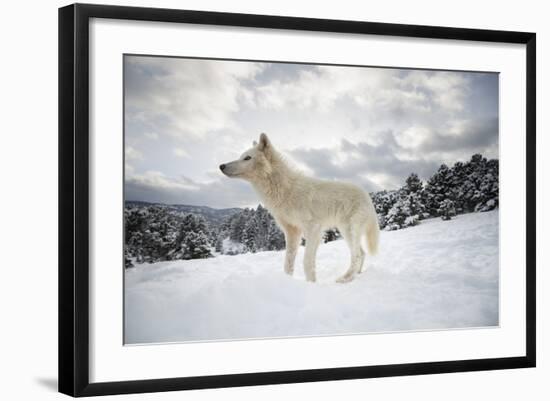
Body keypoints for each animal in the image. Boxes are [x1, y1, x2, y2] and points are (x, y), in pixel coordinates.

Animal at [220, 133, 380, 282]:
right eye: (241, 156)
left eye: (247, 158)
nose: (221, 166)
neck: (285, 189)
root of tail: (366, 195)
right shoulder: (292, 232)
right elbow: (288, 263)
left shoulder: (313, 229)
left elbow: (307, 262)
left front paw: (311, 284)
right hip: (345, 231)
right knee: (361, 253)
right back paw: (355, 276)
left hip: (350, 229)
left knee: (357, 255)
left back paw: (344, 279)